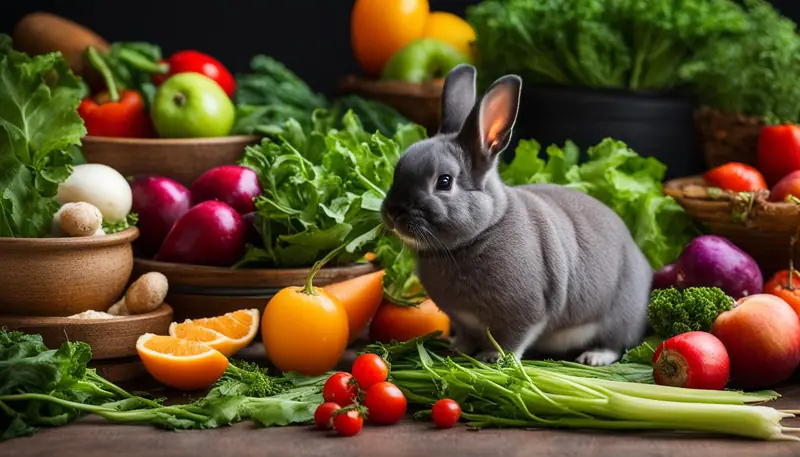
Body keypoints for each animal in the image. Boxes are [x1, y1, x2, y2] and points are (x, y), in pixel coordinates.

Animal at [380, 64, 652, 366]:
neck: (484, 229)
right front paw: (457, 349)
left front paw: (493, 357)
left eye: (444, 182)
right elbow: (465, 335)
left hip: (618, 316)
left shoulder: (526, 312)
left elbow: (512, 340)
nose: (392, 211)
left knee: (616, 343)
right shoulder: (461, 321)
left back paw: (593, 357)